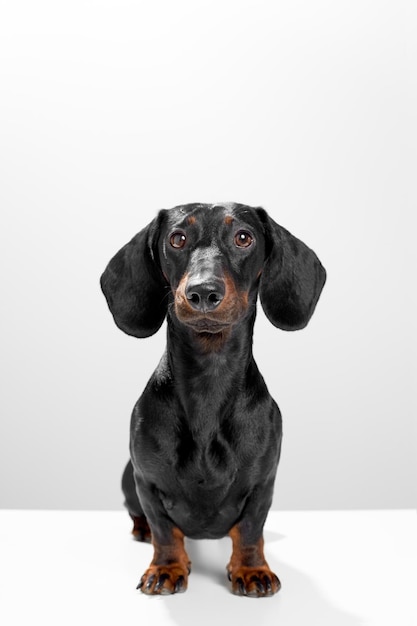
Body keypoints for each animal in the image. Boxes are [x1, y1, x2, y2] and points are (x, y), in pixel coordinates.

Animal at [101, 204, 324, 596]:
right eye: (177, 239)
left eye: (243, 237)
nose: (203, 292)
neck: (208, 378)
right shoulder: (147, 481)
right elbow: (164, 530)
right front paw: (166, 567)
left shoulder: (263, 483)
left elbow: (250, 530)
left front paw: (252, 570)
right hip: (128, 479)